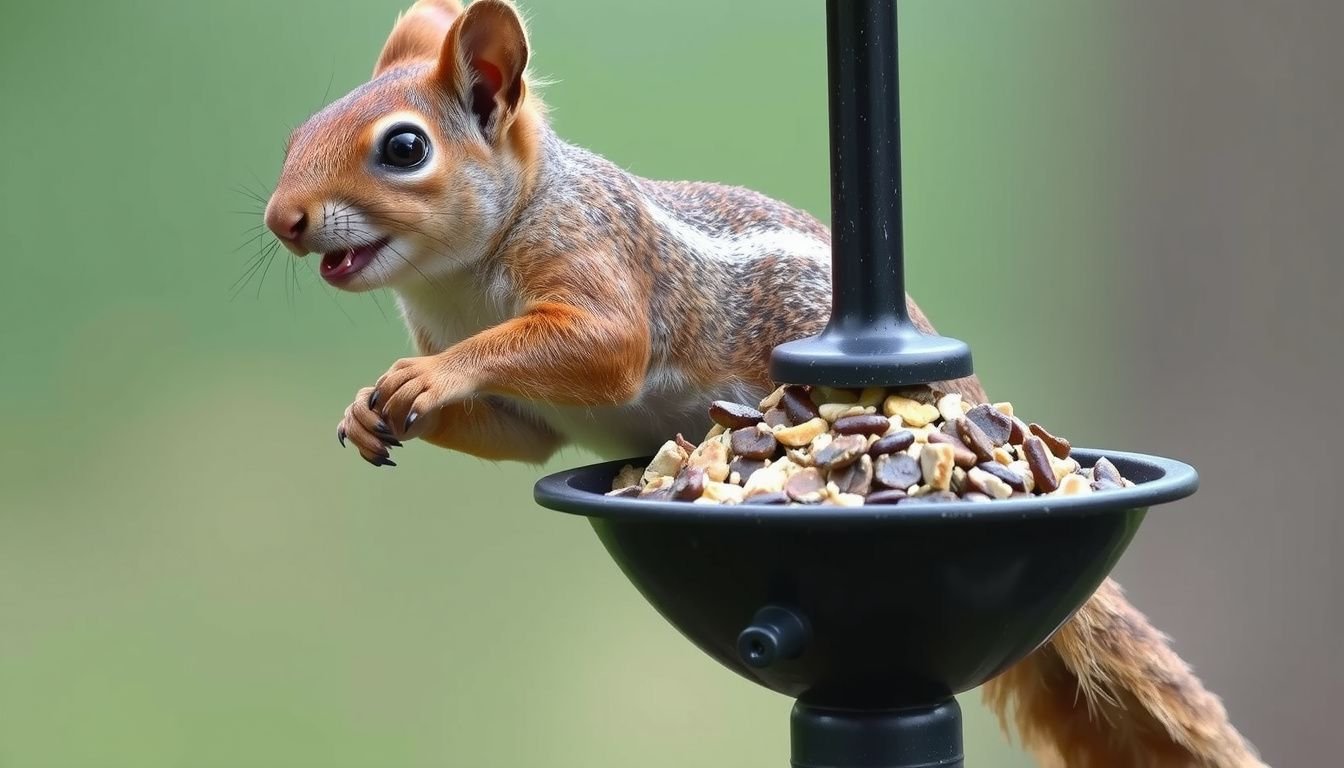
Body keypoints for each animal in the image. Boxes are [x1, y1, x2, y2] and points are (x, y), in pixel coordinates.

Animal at [262, 2, 1266, 765]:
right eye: (296, 133)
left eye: (403, 148)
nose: (282, 219)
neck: (458, 279)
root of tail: (975, 400)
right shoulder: (523, 417)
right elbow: (521, 436)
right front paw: (369, 408)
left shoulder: (605, 270)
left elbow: (602, 345)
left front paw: (427, 375)